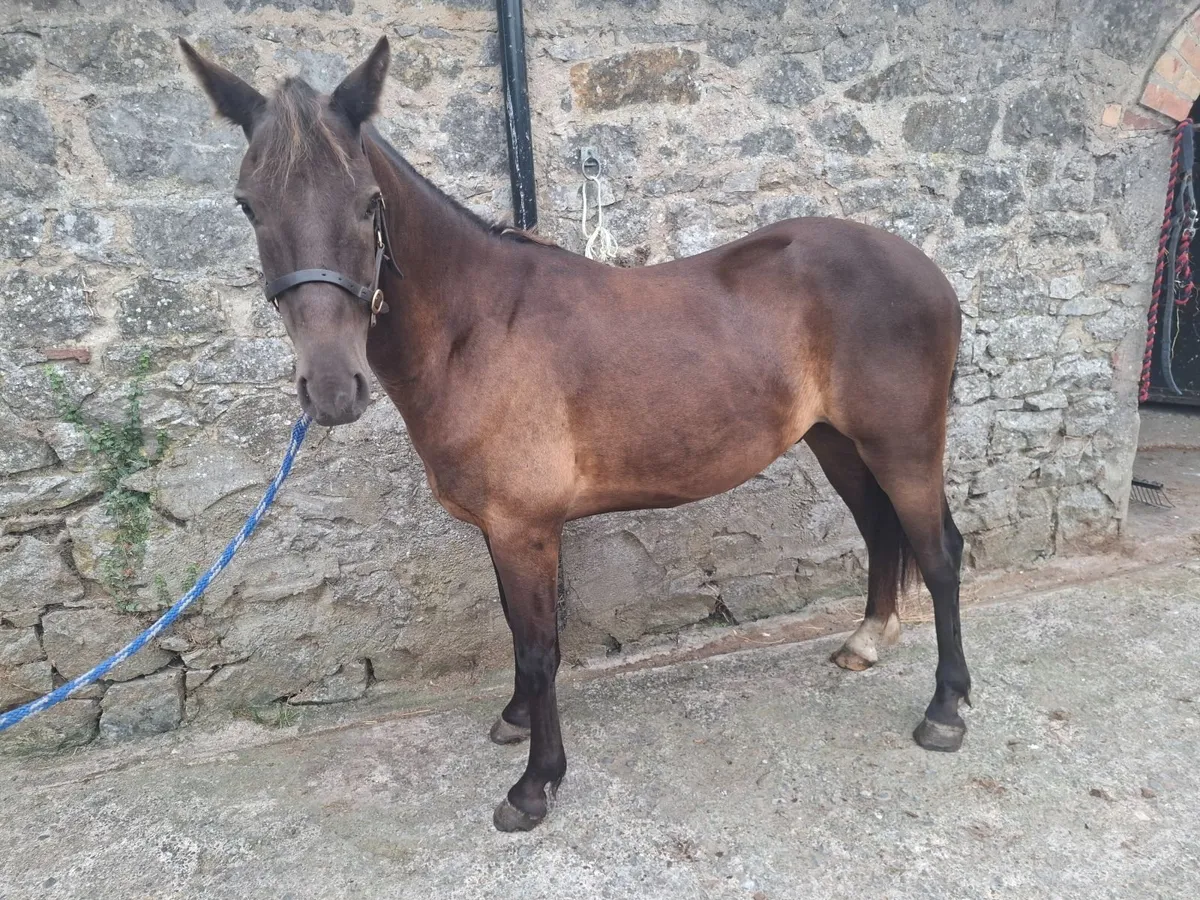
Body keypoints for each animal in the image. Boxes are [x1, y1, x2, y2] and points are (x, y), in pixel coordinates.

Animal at [180, 36, 969, 832]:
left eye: (369, 202)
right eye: (248, 206)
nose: (332, 389)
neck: (477, 328)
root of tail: (925, 269)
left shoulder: (524, 526)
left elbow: (538, 648)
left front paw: (535, 786)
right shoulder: (500, 528)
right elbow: (514, 629)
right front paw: (516, 721)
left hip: (904, 446)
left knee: (938, 554)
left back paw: (945, 710)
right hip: (838, 442)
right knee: (880, 532)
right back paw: (866, 642)